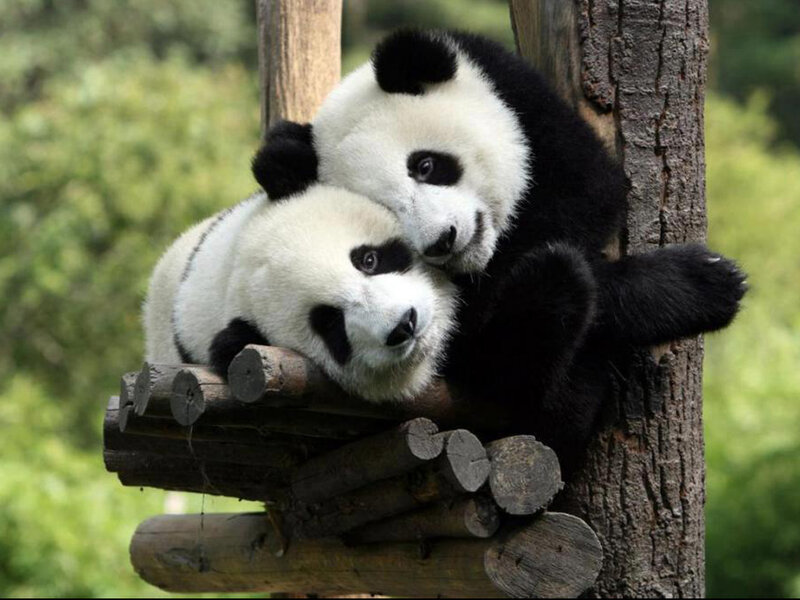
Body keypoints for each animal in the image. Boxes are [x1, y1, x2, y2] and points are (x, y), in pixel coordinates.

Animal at [252, 29, 747, 469]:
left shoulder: (522, 102)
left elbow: (589, 193)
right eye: (387, 210)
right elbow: (483, 331)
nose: (443, 240)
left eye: (425, 165)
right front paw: (703, 284)